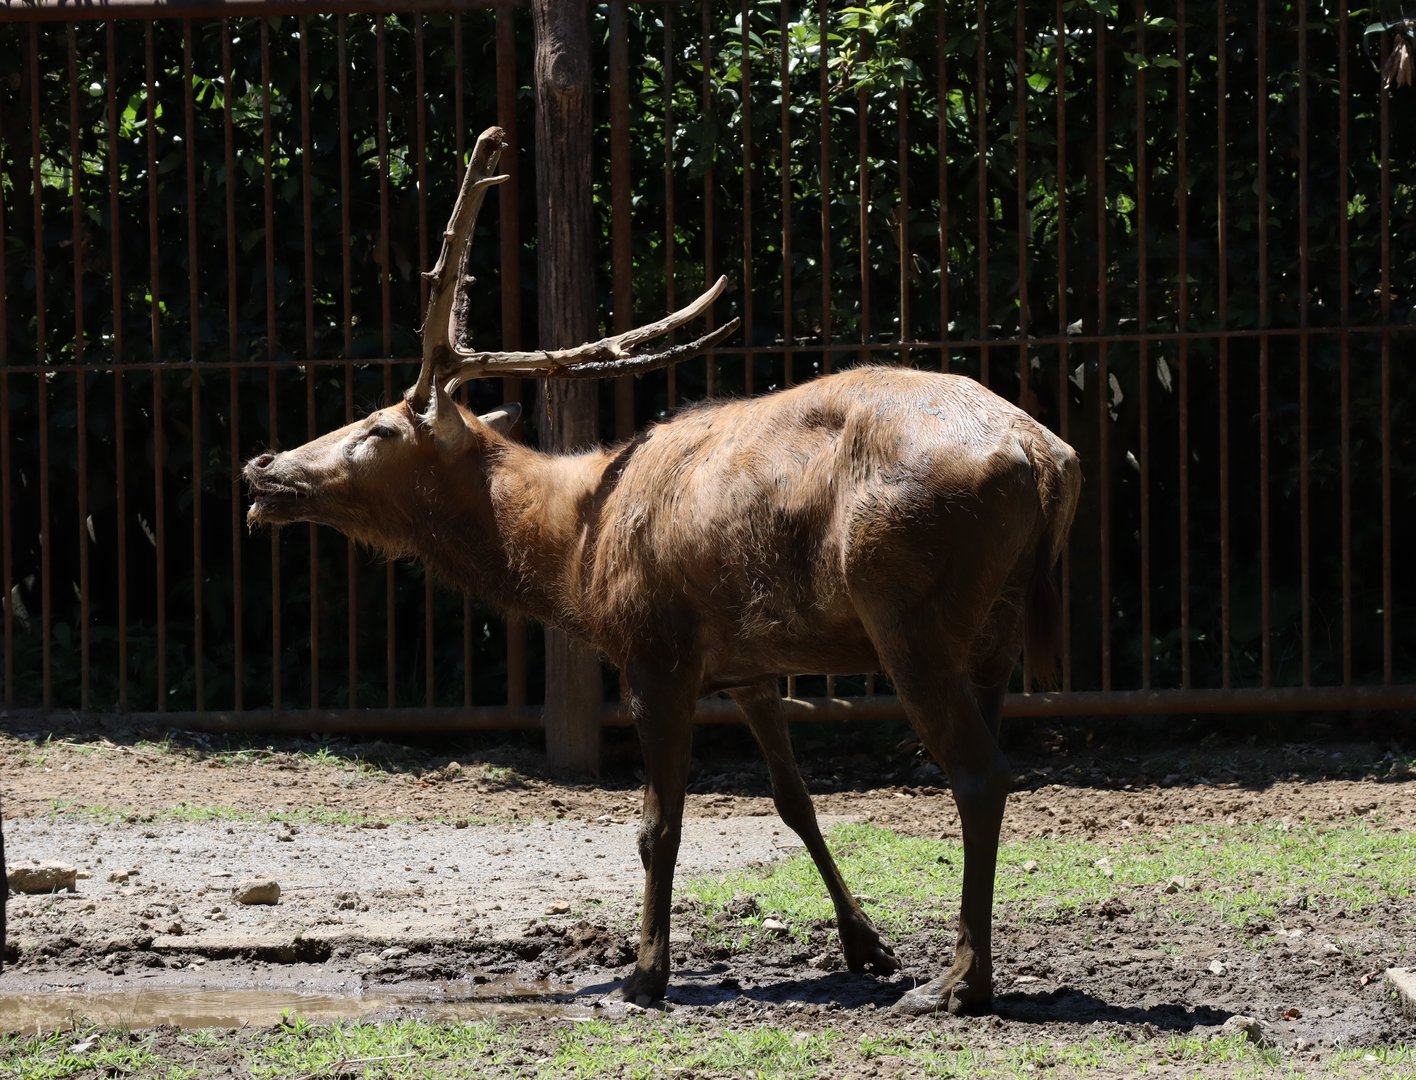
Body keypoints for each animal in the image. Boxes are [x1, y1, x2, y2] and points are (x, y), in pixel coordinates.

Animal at [245, 126, 1081, 1015]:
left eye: (376, 428)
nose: (263, 467)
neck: (573, 558)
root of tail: (1045, 456)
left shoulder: (654, 648)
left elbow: (659, 824)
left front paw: (645, 973)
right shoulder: (749, 665)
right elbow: (795, 801)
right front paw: (866, 945)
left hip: (910, 609)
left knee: (980, 774)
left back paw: (956, 984)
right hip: (996, 627)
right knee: (982, 766)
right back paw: (959, 969)